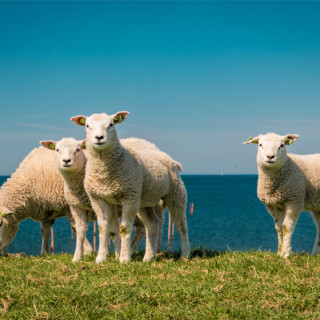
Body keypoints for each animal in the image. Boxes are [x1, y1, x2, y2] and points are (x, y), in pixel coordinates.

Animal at [71, 111, 189, 264]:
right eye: (87, 125)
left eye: (111, 124)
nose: (99, 138)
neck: (104, 171)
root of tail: (169, 158)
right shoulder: (98, 198)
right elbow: (103, 228)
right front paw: (101, 258)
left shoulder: (129, 196)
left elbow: (124, 229)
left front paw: (124, 258)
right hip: (145, 200)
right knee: (152, 224)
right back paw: (148, 257)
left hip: (175, 193)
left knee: (181, 225)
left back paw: (186, 254)